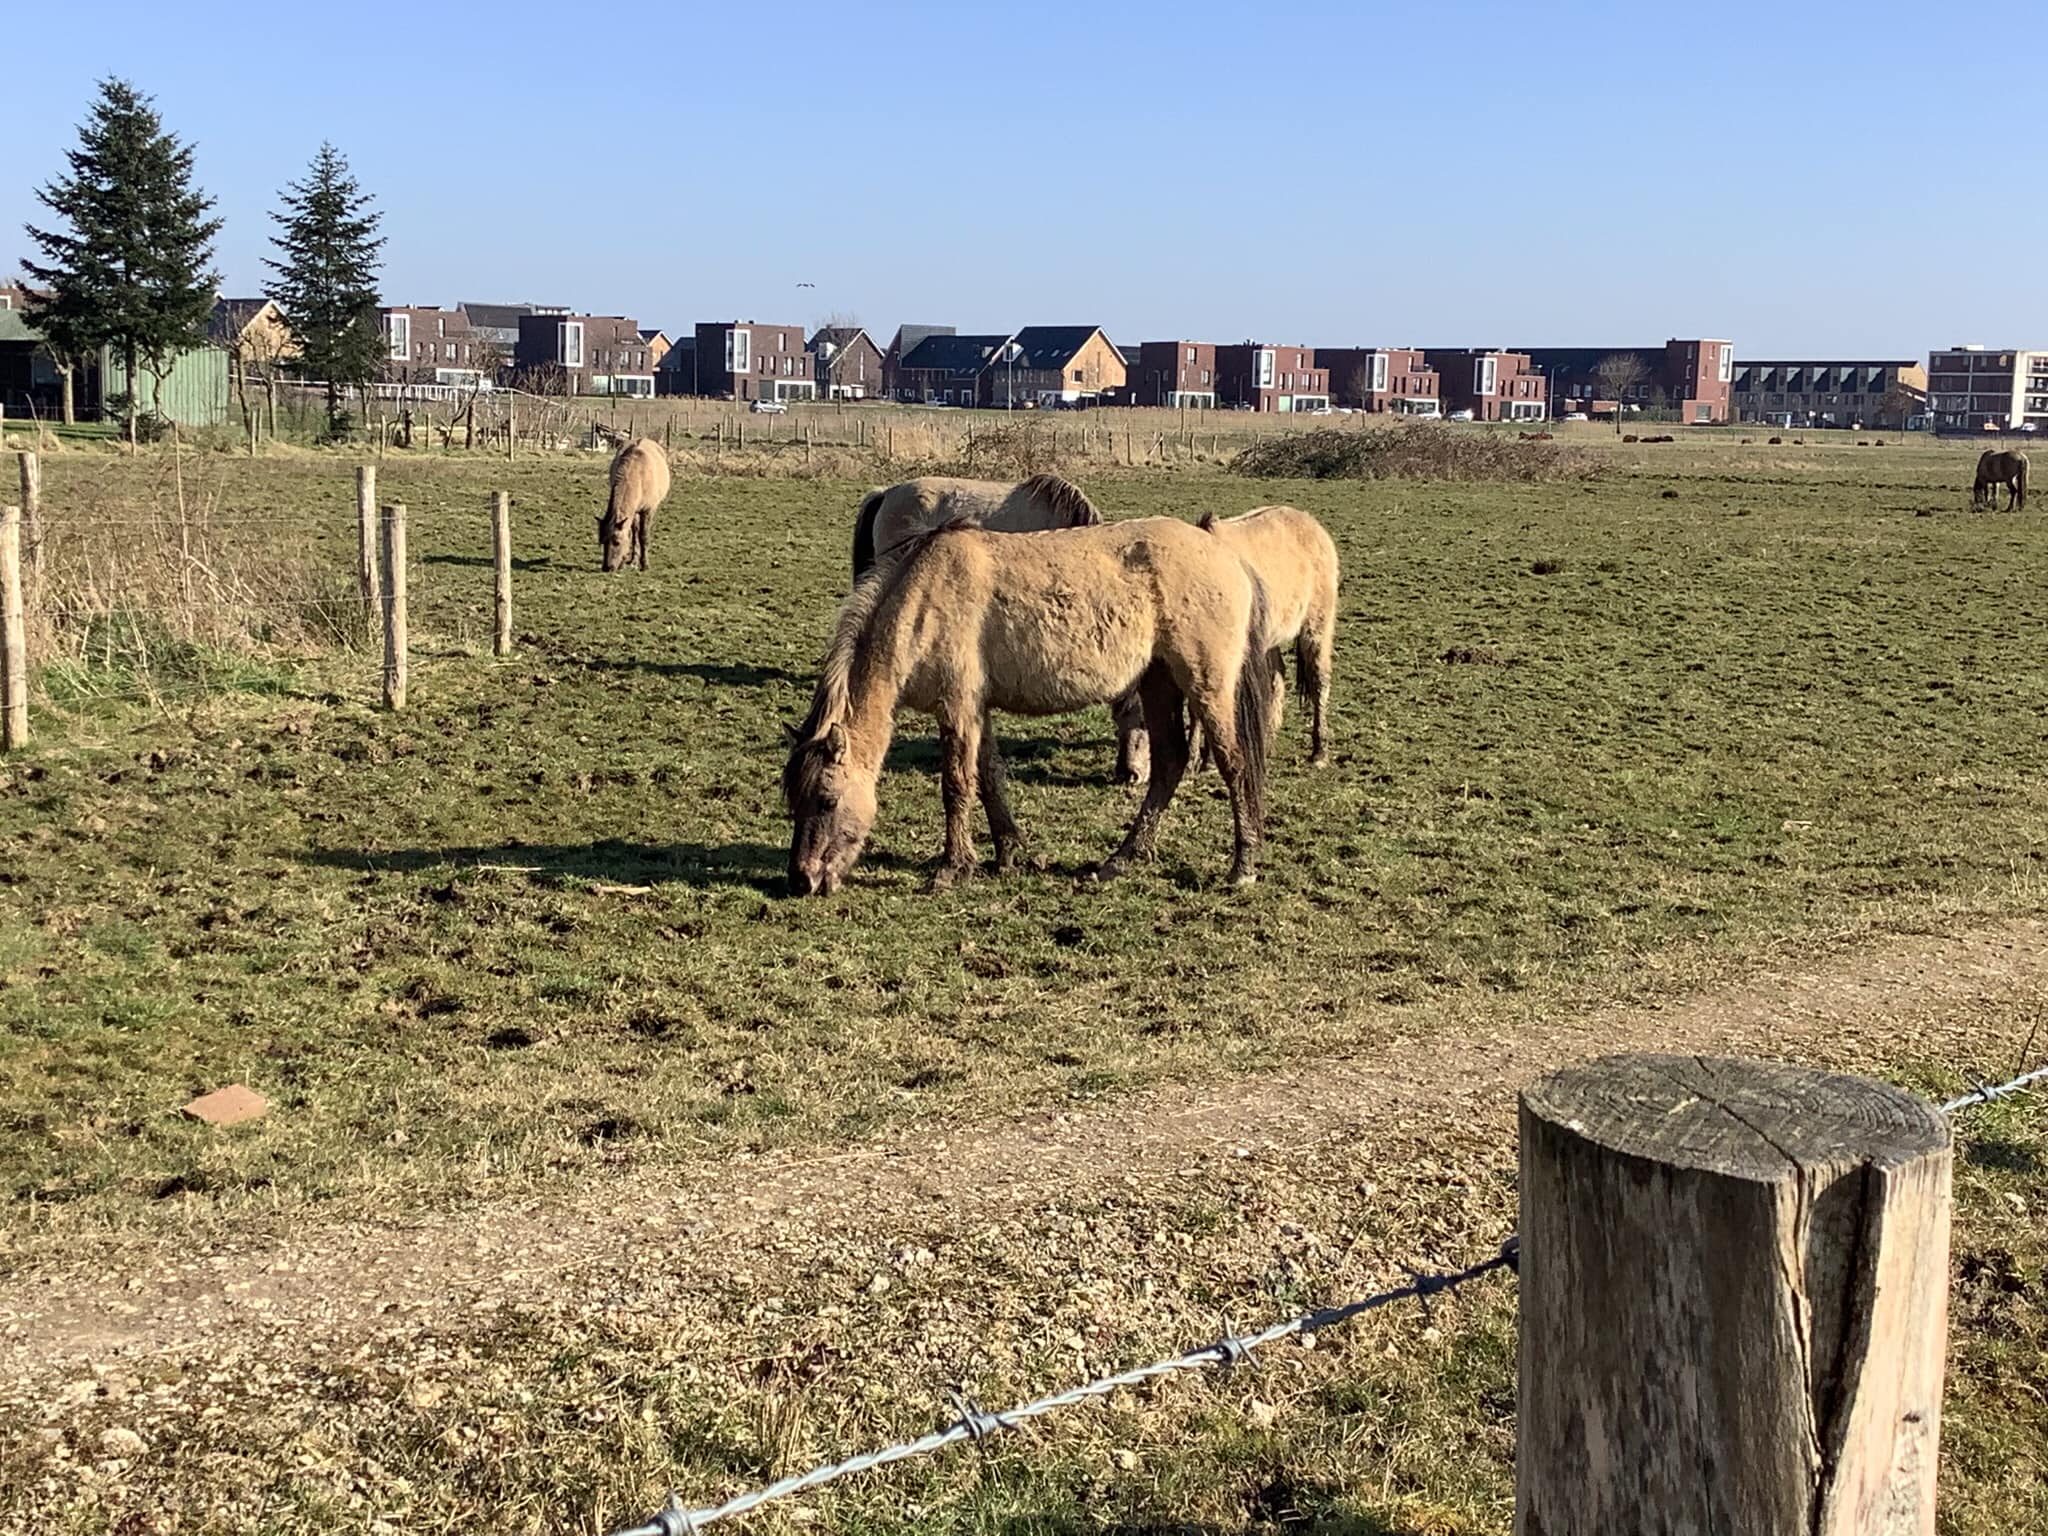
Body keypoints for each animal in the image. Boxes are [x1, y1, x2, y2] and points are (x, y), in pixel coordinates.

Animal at [598, 439, 673, 572]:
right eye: (602, 541)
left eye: (617, 542)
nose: (607, 567)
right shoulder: (632, 512)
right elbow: (632, 534)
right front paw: (630, 560)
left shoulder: (648, 511)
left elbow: (643, 536)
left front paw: (645, 564)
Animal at [784, 517, 1275, 896]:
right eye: (793, 801)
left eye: (827, 800)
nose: (802, 880)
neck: (922, 602)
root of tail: (1228, 557)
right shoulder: (976, 711)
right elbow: (989, 779)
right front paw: (1009, 854)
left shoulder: (957, 708)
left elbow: (956, 786)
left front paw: (951, 869)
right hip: (1158, 682)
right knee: (1169, 764)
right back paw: (1121, 860)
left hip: (1206, 686)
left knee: (1235, 765)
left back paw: (1243, 866)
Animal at [1113, 505, 1340, 778]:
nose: (1129, 774)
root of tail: (1311, 524)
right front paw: (1197, 760)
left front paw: (1204, 760)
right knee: (1277, 677)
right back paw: (1267, 743)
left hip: (1316, 625)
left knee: (1319, 680)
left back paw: (1319, 751)